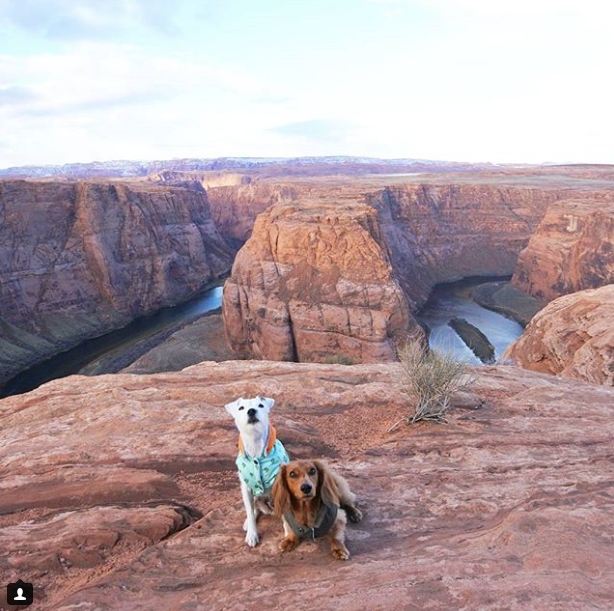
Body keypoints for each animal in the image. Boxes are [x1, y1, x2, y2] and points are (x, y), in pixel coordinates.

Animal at [226, 400, 292, 548]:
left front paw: (288, 534)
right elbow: (250, 512)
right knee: (254, 508)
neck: (255, 445)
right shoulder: (246, 489)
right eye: (241, 407)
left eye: (261, 405)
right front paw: (252, 534)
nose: (251, 411)